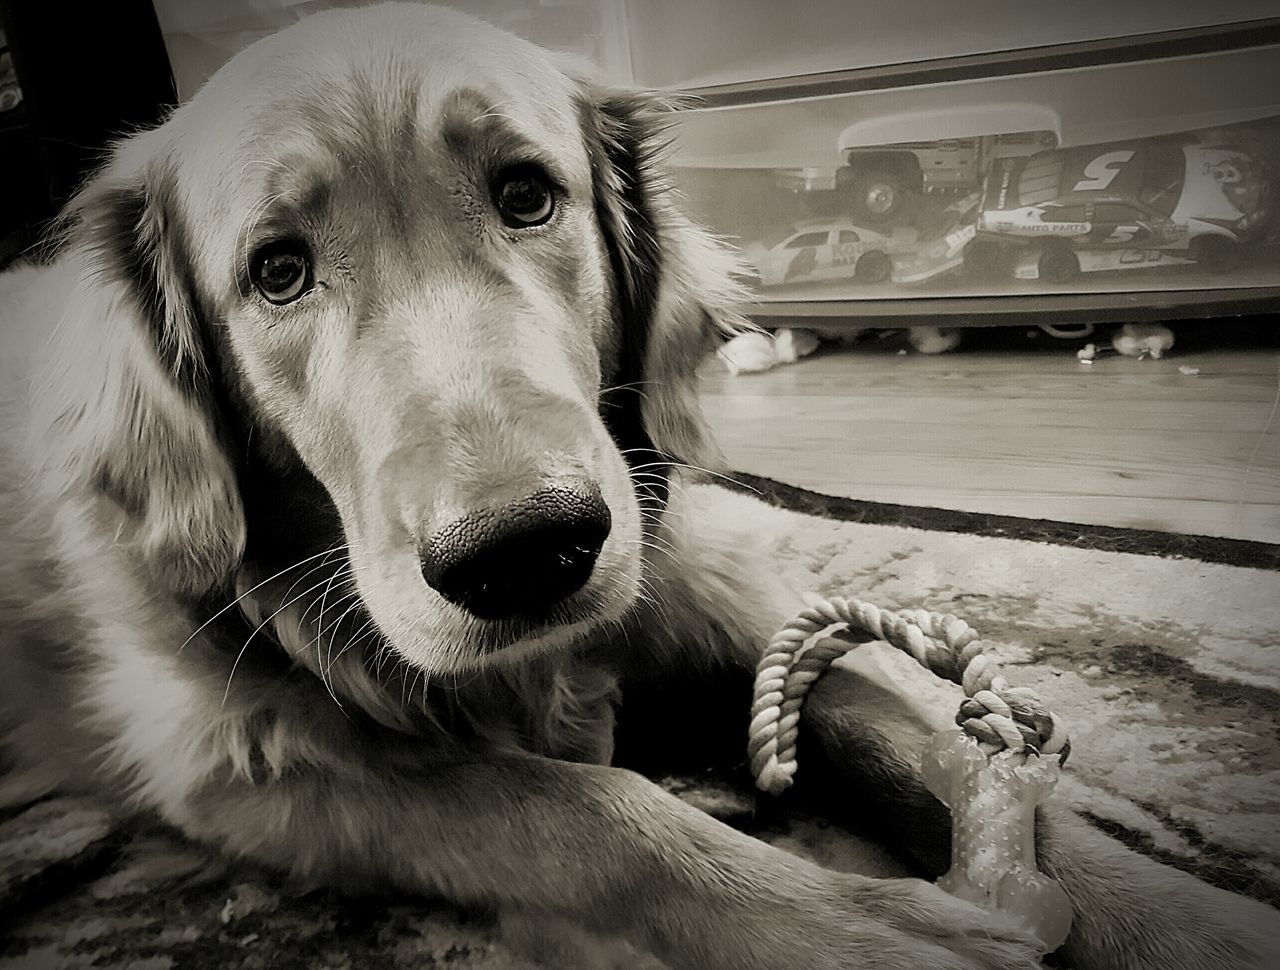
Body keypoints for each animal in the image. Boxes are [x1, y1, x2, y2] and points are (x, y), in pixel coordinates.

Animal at [0, 3, 1274, 967]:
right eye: (275, 272)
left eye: (526, 195)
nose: (525, 550)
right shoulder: (251, 762)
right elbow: (582, 810)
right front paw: (878, 931)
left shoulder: (713, 598)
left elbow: (925, 739)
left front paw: (1189, 918)